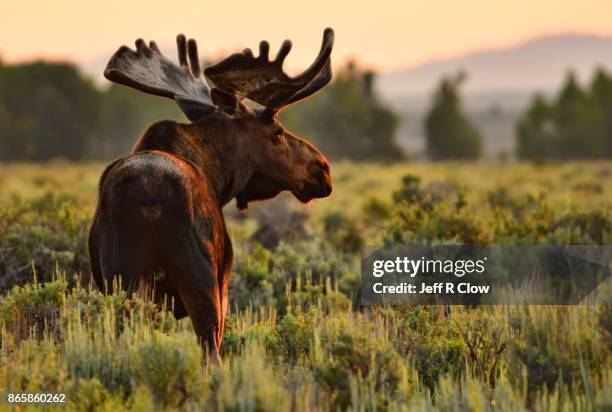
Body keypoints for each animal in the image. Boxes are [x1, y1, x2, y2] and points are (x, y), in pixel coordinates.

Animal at [89, 29, 334, 358]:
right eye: (278, 132)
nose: (322, 168)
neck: (219, 179)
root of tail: (148, 199)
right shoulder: (224, 280)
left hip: (120, 281)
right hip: (201, 281)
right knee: (211, 351)